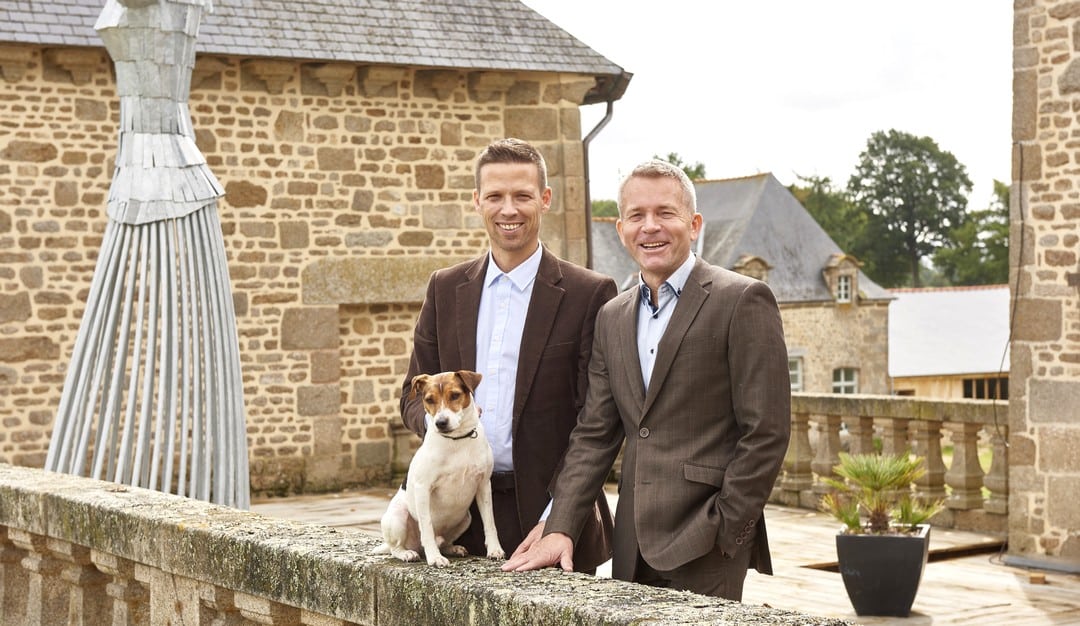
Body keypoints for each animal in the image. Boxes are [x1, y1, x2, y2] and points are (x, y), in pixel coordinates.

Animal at [373, 369, 503, 565]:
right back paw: (407, 553)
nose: (441, 423)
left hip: (466, 518)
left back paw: (452, 548)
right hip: (397, 518)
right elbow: (426, 527)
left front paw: (495, 549)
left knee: (443, 541)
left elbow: (490, 523)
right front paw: (434, 558)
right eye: (429, 399)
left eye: (455, 395)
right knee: (397, 548)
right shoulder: (423, 488)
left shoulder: (483, 485)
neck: (457, 440)